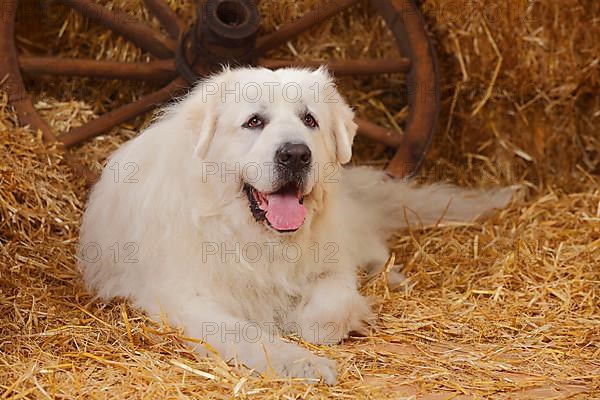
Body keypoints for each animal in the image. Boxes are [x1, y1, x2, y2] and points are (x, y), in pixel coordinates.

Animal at [77, 65, 512, 384]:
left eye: (309, 120)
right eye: (254, 122)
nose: (296, 154)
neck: (255, 237)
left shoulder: (332, 264)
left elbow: (332, 305)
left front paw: (311, 323)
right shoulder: (187, 297)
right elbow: (248, 334)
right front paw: (302, 362)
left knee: (374, 250)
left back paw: (392, 276)